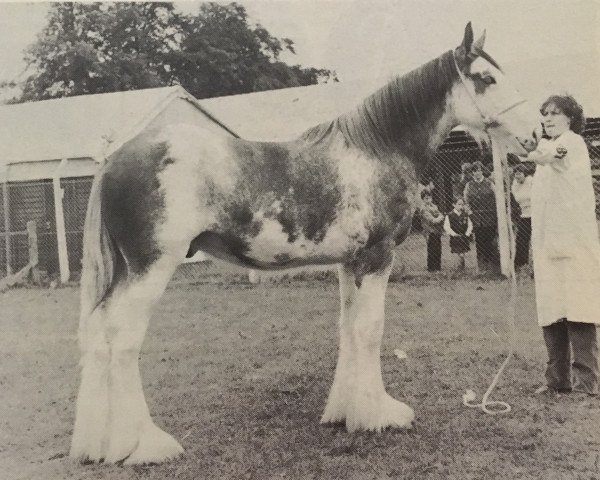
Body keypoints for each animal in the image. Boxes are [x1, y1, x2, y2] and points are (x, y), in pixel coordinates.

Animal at [71, 23, 540, 464]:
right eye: (486, 78)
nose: (535, 134)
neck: (376, 150)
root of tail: (114, 159)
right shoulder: (377, 257)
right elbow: (371, 330)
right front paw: (379, 416)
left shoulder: (349, 263)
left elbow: (349, 329)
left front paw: (345, 411)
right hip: (151, 269)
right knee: (123, 339)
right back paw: (146, 445)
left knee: (99, 335)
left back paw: (98, 444)